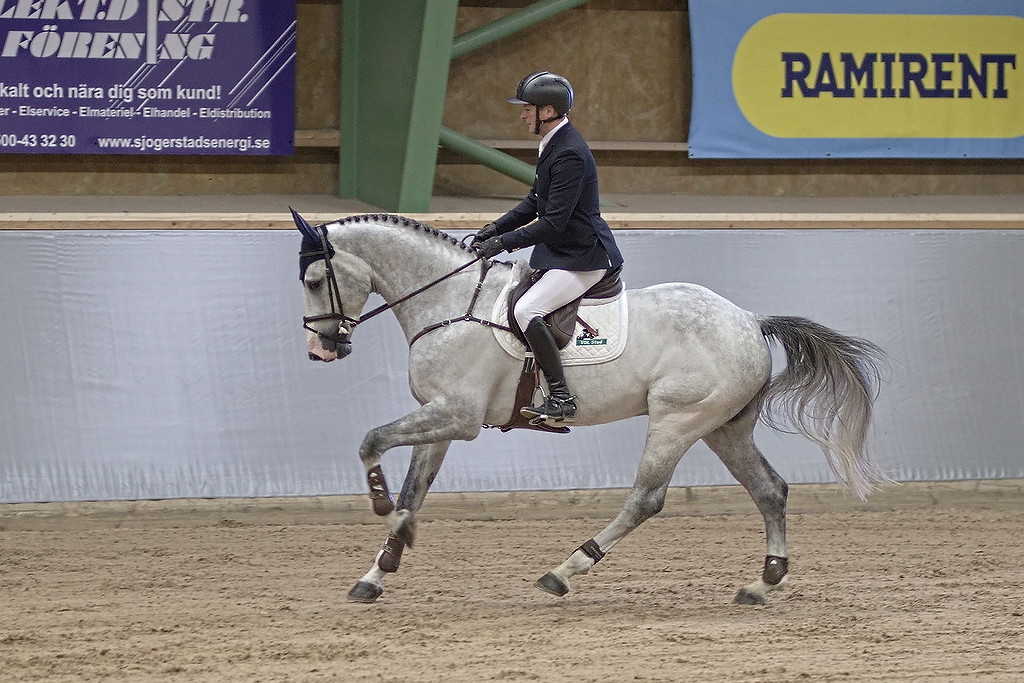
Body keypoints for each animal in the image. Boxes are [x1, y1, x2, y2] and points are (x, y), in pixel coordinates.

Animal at [292, 210, 884, 606]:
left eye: (315, 281)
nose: (321, 350)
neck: (451, 303)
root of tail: (750, 321)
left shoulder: (457, 417)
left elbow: (371, 441)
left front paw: (381, 508)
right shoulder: (439, 419)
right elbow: (414, 490)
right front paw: (378, 570)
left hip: (677, 421)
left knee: (646, 499)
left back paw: (563, 571)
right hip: (725, 428)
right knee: (769, 490)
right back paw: (761, 583)